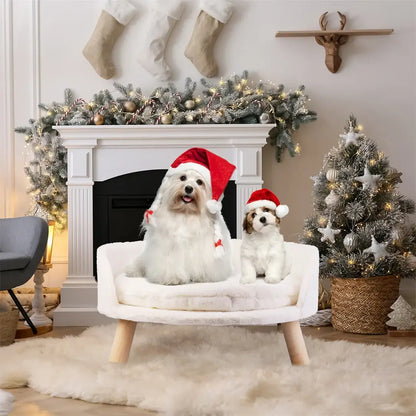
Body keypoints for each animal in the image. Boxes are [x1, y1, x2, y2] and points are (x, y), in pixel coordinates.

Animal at [125, 147, 236, 286]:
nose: (188, 188)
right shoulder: (170, 247)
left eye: (199, 182)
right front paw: (172, 278)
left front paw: (202, 276)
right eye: (183, 178)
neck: (186, 212)